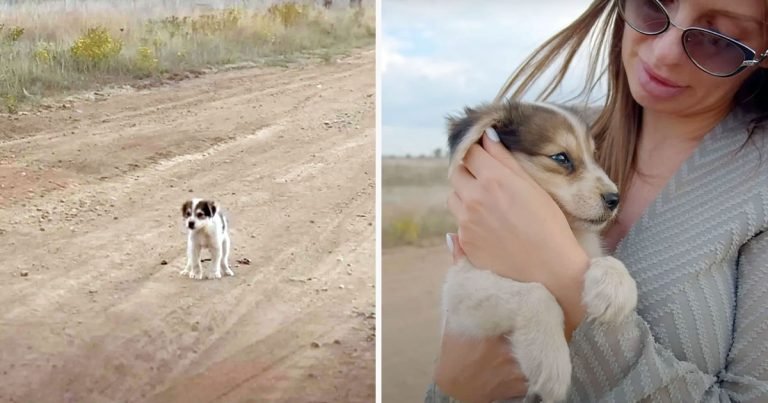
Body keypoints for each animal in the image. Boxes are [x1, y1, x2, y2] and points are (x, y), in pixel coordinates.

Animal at [440, 99, 640, 402]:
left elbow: (607, 260)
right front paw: (549, 361)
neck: (571, 230)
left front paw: (615, 287)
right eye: (561, 158)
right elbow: (537, 293)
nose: (614, 199)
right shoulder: (461, 290)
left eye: (594, 156)